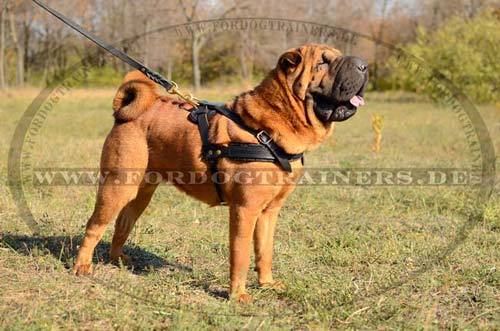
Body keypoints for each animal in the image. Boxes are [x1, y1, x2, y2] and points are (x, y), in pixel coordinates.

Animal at [73, 43, 368, 304]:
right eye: (323, 62)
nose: (364, 65)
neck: (268, 129)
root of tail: (126, 111)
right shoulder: (245, 210)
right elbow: (241, 255)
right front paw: (238, 296)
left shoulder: (269, 211)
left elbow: (265, 250)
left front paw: (267, 284)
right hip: (117, 186)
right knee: (94, 225)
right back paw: (82, 266)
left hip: (140, 193)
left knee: (123, 224)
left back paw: (117, 259)